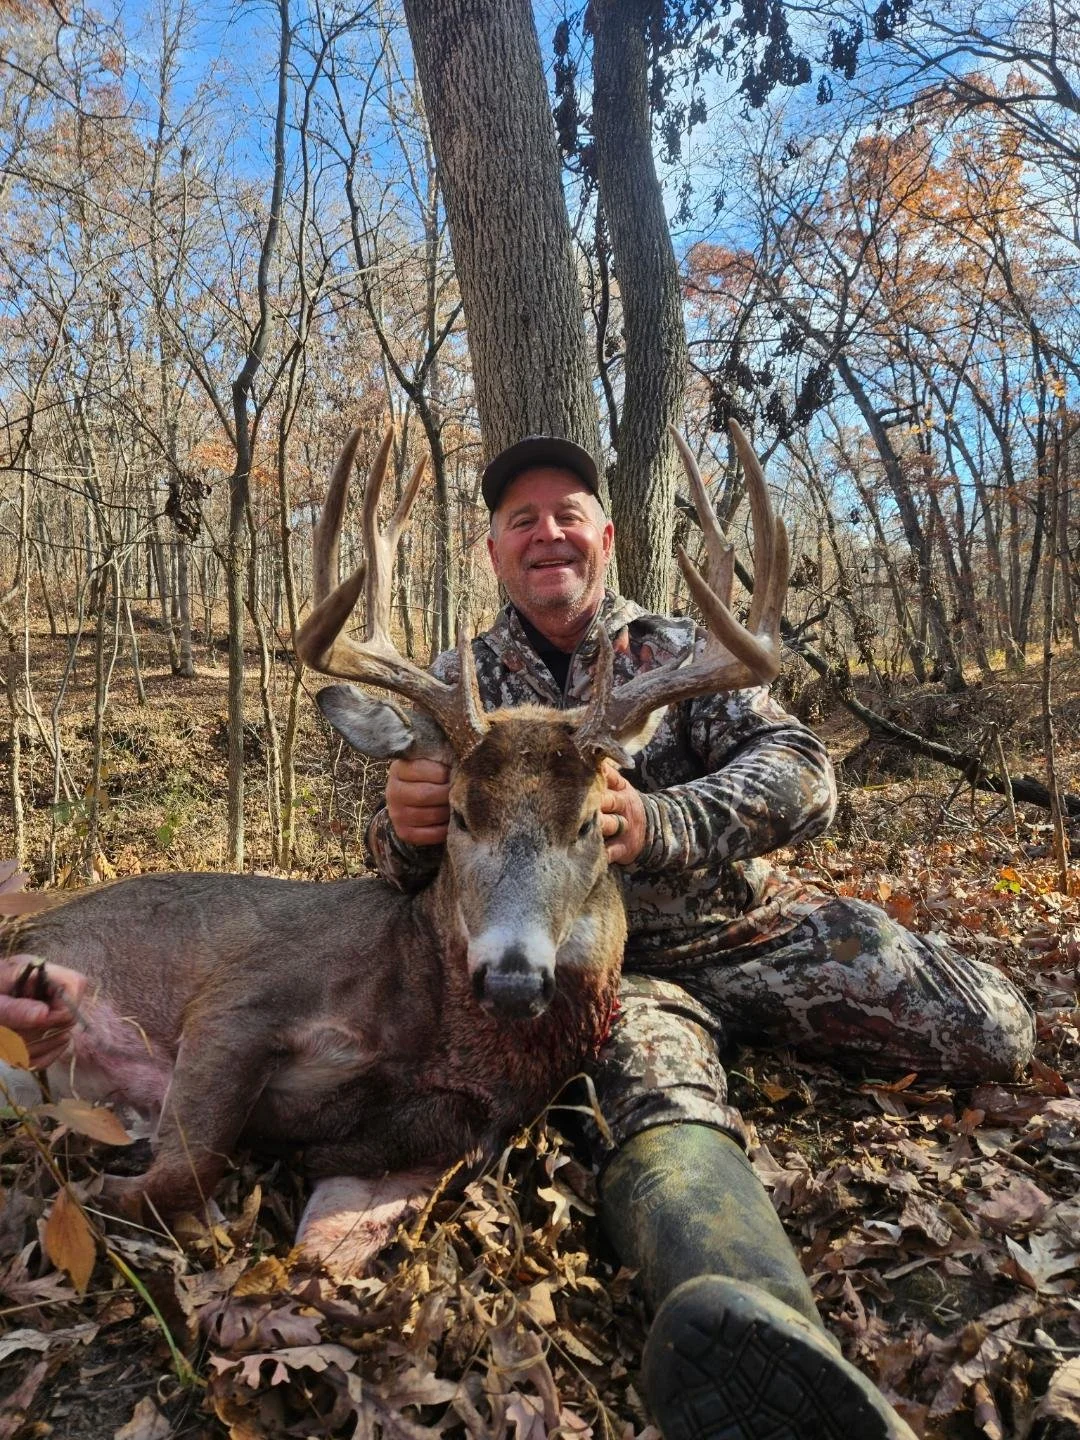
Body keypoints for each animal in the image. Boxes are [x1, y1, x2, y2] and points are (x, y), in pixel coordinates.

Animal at [2, 421, 787, 1267]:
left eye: (586, 823)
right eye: (460, 815)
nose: (513, 979)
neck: (437, 1027)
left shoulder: (444, 1138)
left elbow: (318, 1249)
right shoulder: (243, 995)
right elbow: (190, 1164)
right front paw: (88, 1193)